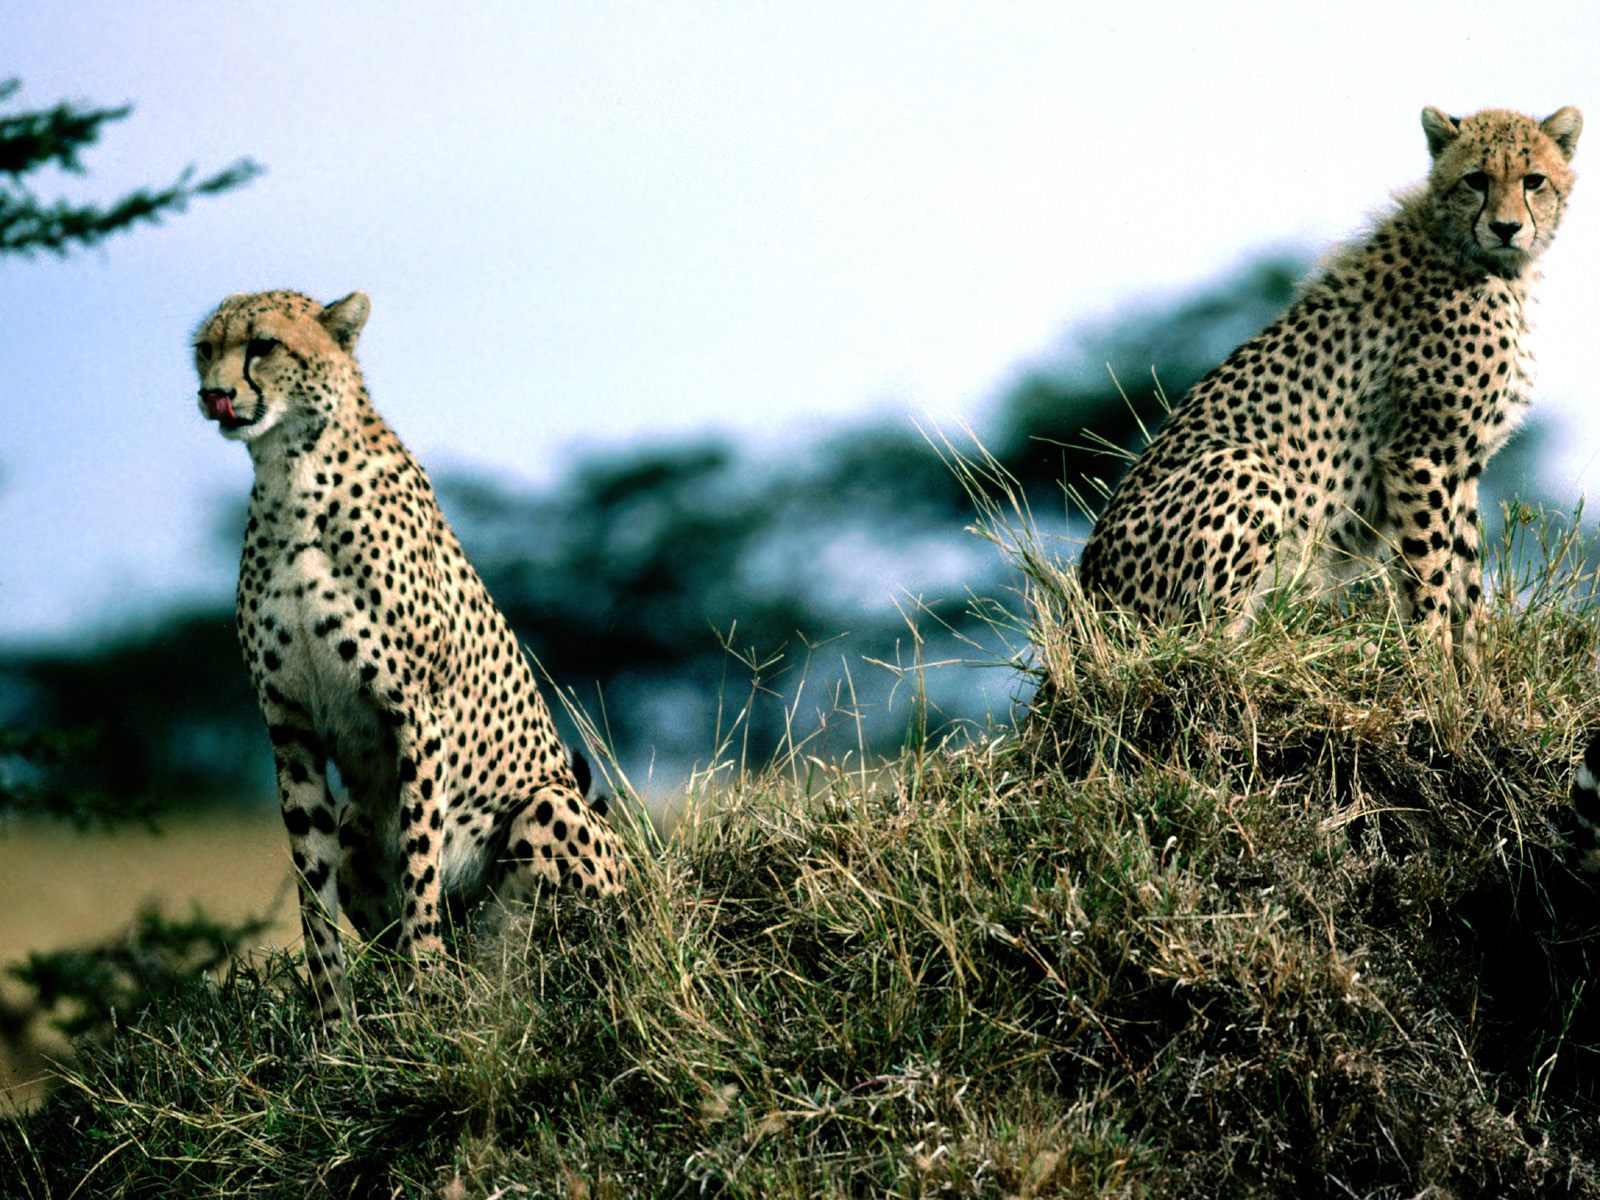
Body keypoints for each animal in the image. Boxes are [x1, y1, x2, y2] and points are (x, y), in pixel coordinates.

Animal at [193, 291, 624, 1036]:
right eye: (204, 350)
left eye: (263, 346)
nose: (213, 394)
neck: (290, 475)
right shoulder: (289, 724)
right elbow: (310, 886)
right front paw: (333, 1027)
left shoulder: (417, 711)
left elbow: (420, 858)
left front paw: (426, 998)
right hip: (358, 825)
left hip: (551, 809)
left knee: (532, 956)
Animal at [1081, 103, 1580, 668]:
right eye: (1476, 179)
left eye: (1533, 180)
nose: (1506, 227)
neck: (1476, 256)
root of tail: (1086, 592)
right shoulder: (1419, 455)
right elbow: (1429, 571)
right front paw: (1432, 667)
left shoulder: (1463, 464)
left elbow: (1466, 575)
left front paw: (1475, 673)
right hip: (1243, 469)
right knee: (1198, 646)